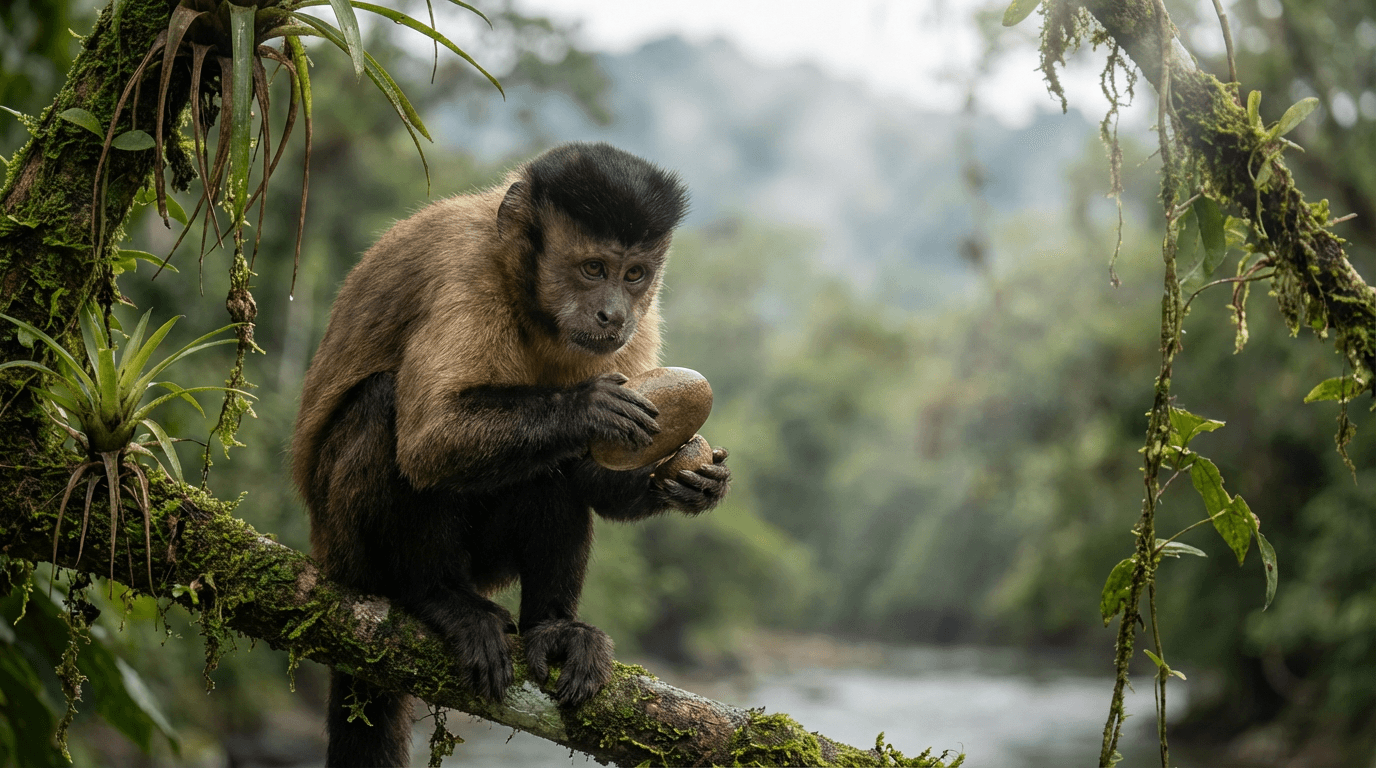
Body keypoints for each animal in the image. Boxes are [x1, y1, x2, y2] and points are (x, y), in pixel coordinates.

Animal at [291, 142, 731, 767]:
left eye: (634, 275)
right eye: (593, 269)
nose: (613, 314)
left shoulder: (641, 322)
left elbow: (595, 474)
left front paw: (691, 483)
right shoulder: (465, 272)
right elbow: (429, 438)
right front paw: (588, 409)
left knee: (551, 472)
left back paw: (554, 629)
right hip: (346, 546)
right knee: (386, 405)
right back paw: (436, 597)